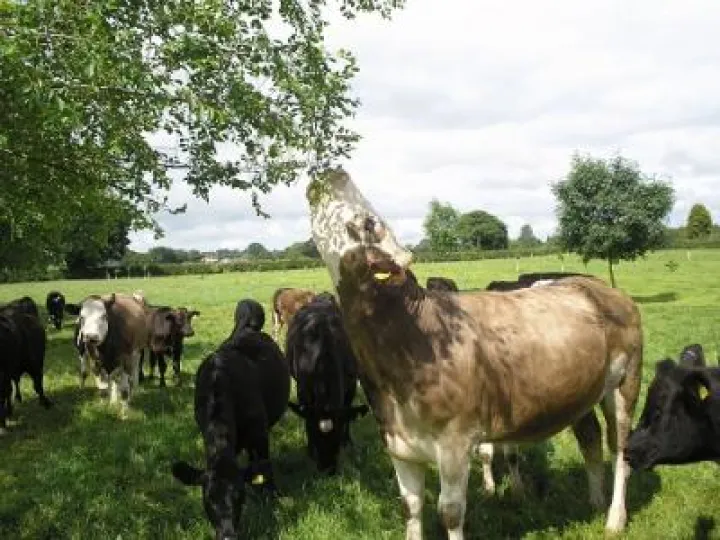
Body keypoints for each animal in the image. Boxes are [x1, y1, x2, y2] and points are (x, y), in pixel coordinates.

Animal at [171, 302, 290, 540]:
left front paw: (271, 496)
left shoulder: (260, 433)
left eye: (238, 496)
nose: (227, 535)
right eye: (208, 499)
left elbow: (265, 464)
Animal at [284, 292, 369, 474]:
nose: (327, 469)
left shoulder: (351, 384)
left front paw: (347, 442)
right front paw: (310, 451)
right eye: (315, 435)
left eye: (336, 435)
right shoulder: (303, 389)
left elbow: (347, 413)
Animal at [306, 168, 643, 539]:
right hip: (578, 389)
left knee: (621, 448)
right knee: (590, 439)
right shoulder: (398, 444)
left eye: (368, 223)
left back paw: (614, 518)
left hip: (626, 380)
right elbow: (410, 507)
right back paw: (595, 502)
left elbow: (451, 512)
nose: (331, 171)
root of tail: (595, 285)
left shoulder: (456, 440)